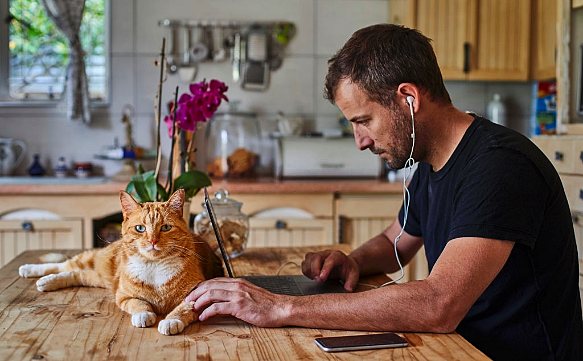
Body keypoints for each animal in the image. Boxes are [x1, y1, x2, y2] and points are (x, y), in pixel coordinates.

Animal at [17, 188, 224, 334]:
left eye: (165, 227)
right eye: (140, 228)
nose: (153, 241)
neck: (154, 266)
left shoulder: (197, 295)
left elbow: (182, 309)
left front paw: (171, 320)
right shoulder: (124, 295)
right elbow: (138, 304)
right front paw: (143, 315)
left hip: (97, 278)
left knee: (76, 273)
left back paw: (47, 281)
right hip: (96, 262)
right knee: (67, 264)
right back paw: (31, 270)